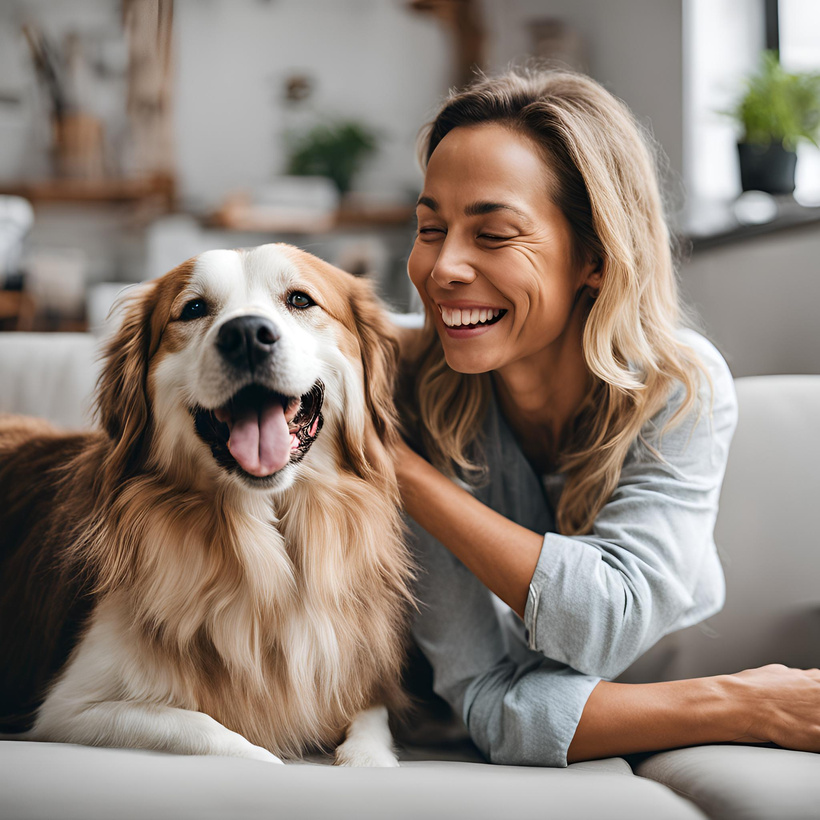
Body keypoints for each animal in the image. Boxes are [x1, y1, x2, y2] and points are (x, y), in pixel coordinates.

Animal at [0, 243, 414, 768]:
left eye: (300, 299)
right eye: (194, 308)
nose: (247, 335)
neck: (264, 535)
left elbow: (372, 721)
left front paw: (367, 759)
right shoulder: (68, 709)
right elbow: (210, 732)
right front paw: (267, 759)